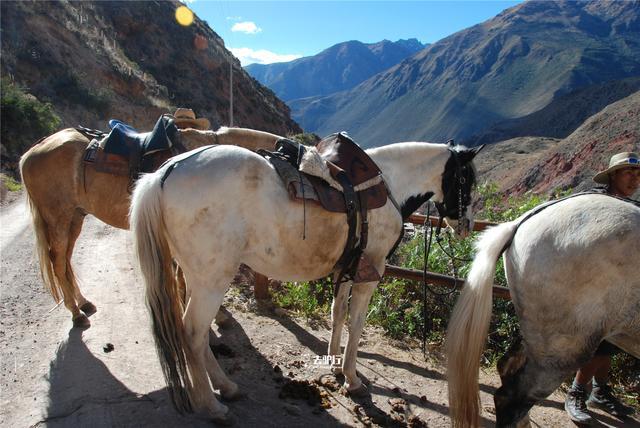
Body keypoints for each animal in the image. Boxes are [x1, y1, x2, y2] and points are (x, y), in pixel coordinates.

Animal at [20, 125, 282, 326]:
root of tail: (31, 152)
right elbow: (185, 278)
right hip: (58, 218)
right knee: (57, 261)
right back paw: (76, 313)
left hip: (75, 218)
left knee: (65, 261)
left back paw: (83, 302)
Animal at [130, 140, 480, 422]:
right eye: (467, 178)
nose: (465, 225)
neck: (389, 187)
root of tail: (167, 172)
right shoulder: (371, 272)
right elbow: (357, 324)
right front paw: (352, 379)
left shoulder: (347, 270)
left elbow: (338, 314)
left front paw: (334, 364)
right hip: (212, 280)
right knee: (193, 332)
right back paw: (212, 405)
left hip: (195, 276)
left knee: (198, 334)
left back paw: (227, 387)